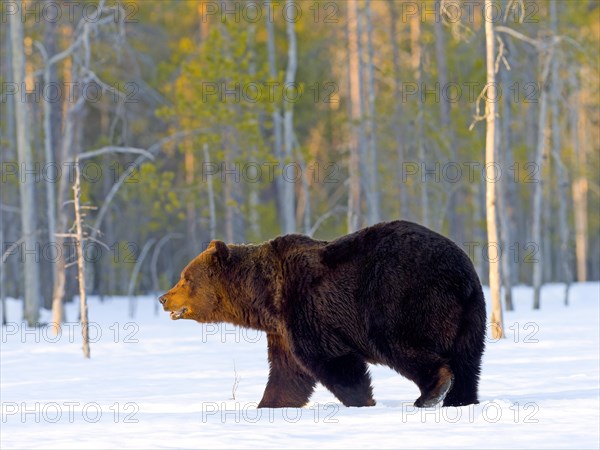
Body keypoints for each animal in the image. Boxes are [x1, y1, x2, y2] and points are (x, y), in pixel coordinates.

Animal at [159, 221, 488, 408]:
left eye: (185, 278)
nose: (163, 298)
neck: (265, 297)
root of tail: (461, 271)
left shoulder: (306, 307)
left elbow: (331, 360)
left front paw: (362, 401)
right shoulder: (281, 329)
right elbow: (287, 373)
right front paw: (269, 405)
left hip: (397, 295)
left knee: (399, 343)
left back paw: (431, 393)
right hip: (471, 314)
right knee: (468, 359)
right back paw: (460, 399)